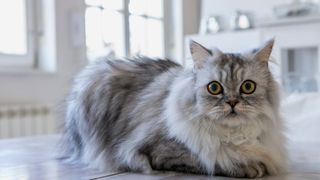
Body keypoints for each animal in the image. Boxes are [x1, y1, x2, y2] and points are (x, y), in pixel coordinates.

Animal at [62, 39, 288, 177]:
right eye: (214, 88)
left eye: (248, 87)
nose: (232, 102)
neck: (231, 135)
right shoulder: (158, 152)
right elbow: (212, 159)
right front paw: (248, 166)